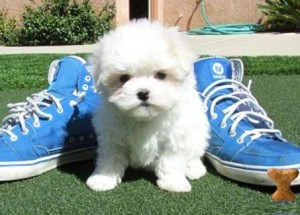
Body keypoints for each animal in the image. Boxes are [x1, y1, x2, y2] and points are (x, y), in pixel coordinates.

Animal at [85, 19, 210, 192]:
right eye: (123, 78)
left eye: (161, 75)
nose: (143, 93)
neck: (144, 118)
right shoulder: (112, 134)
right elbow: (110, 156)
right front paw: (103, 179)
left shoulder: (175, 136)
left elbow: (171, 161)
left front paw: (173, 183)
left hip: (199, 134)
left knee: (194, 154)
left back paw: (194, 169)